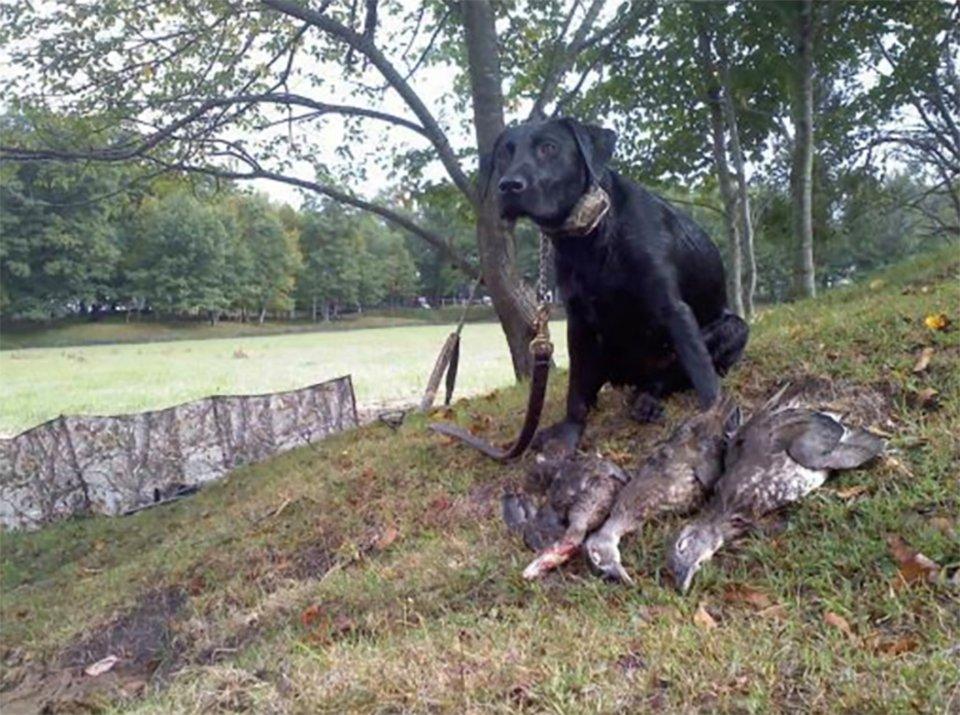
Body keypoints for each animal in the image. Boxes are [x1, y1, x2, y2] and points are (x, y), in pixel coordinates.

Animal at [484, 119, 748, 454]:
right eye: (504, 155)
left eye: (548, 148)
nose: (508, 186)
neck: (593, 237)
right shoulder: (579, 323)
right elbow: (575, 393)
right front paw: (569, 434)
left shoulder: (674, 310)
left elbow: (700, 370)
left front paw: (718, 416)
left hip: (734, 328)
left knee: (668, 377)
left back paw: (648, 400)